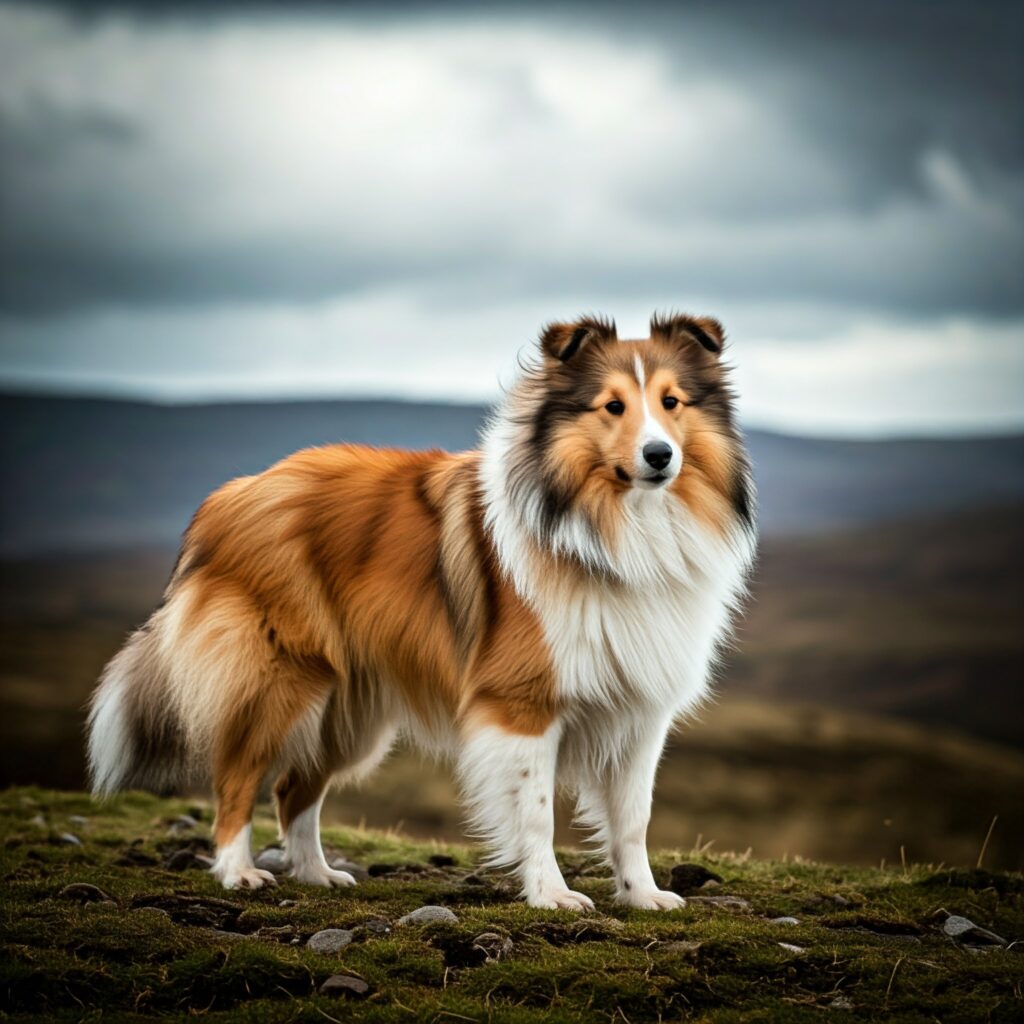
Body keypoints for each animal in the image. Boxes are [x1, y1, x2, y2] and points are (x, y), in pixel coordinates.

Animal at [88, 313, 757, 913]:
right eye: (612, 406)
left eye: (671, 402)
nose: (659, 455)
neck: (613, 527)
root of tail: (231, 494)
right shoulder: (522, 704)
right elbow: (537, 815)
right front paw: (552, 895)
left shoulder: (640, 712)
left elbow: (633, 817)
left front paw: (643, 895)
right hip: (279, 680)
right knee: (237, 777)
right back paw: (237, 873)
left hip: (348, 712)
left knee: (293, 788)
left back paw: (317, 875)